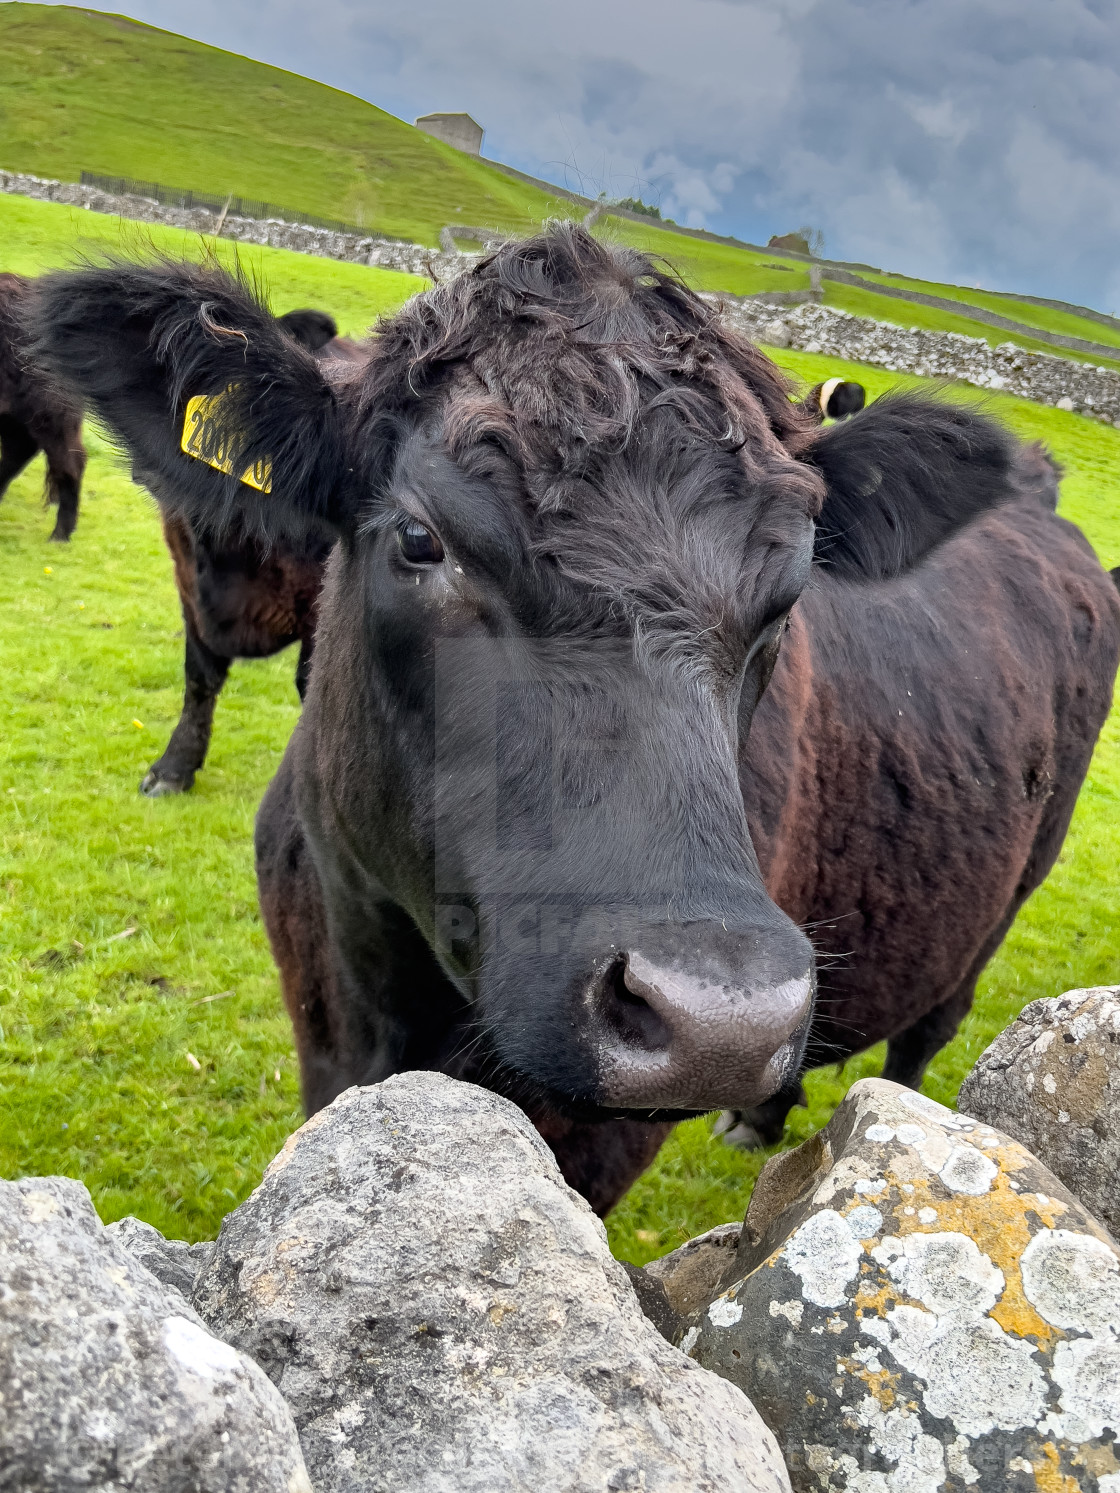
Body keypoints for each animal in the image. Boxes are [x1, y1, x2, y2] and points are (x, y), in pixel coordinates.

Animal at [35, 229, 1120, 1212]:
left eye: (790, 593)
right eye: (419, 537)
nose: (721, 1020)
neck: (393, 1004)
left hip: (1002, 894)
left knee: (927, 1033)